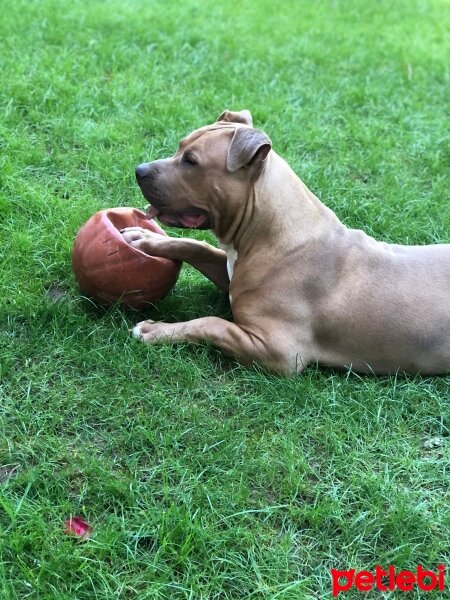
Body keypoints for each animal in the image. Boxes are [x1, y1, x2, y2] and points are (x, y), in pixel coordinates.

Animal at [120, 108, 450, 376]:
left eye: (191, 161)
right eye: (180, 146)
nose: (139, 170)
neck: (271, 235)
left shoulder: (278, 351)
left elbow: (211, 322)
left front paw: (156, 330)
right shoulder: (232, 272)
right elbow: (197, 246)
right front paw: (145, 238)